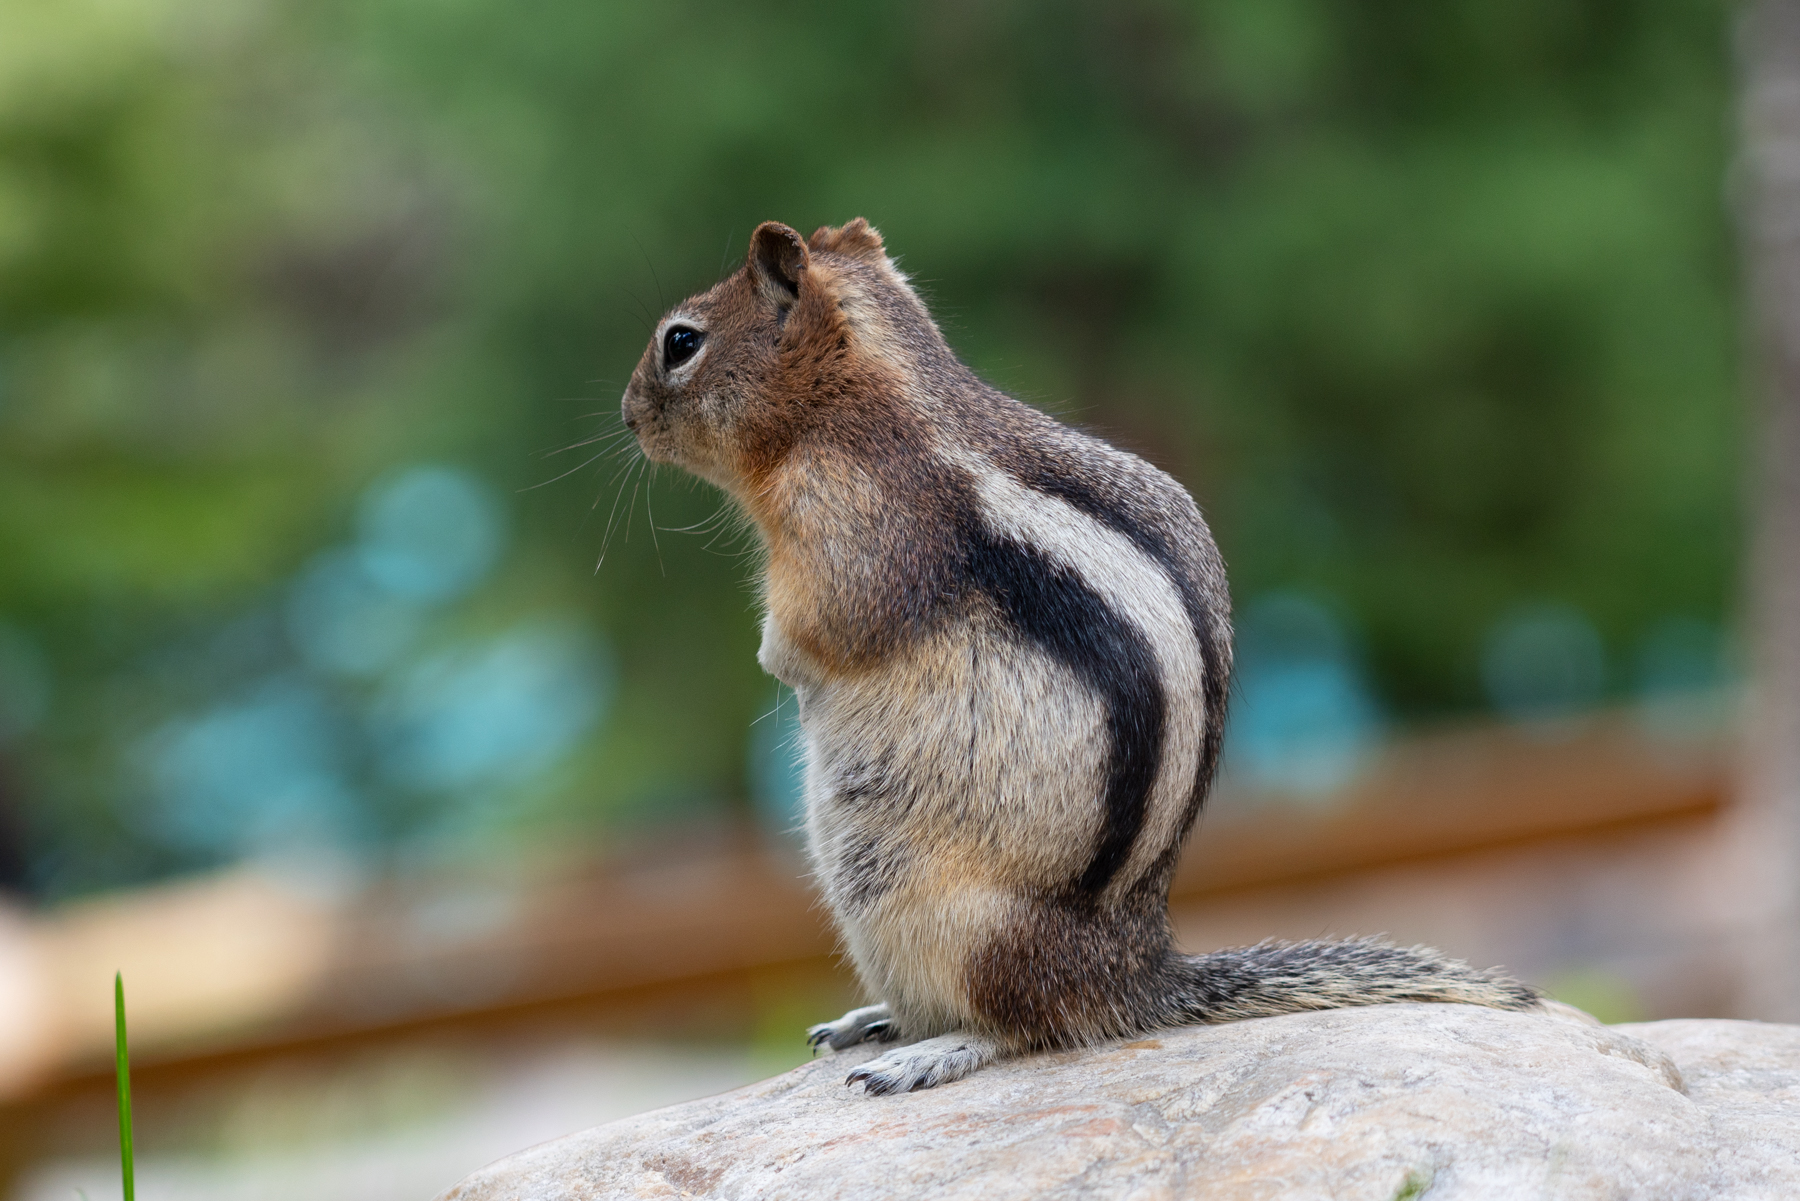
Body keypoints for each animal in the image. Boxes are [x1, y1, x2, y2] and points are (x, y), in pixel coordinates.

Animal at [620, 218, 1540, 1095]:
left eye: (680, 342)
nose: (627, 413)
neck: (862, 398)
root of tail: (1132, 970)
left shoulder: (858, 530)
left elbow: (818, 630)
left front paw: (778, 663)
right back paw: (873, 1018)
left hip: (955, 918)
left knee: (1025, 1025)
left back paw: (929, 1052)